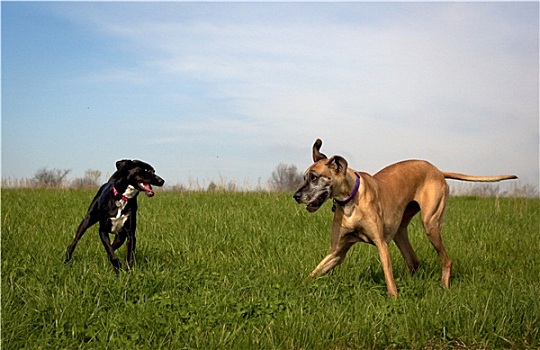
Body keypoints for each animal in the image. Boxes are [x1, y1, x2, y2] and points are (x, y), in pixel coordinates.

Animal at [296, 138, 520, 296]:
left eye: (314, 177)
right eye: (305, 177)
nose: (296, 196)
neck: (350, 200)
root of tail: (437, 170)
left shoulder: (381, 244)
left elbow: (387, 272)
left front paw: (393, 297)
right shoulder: (337, 252)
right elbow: (315, 271)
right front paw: (298, 288)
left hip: (430, 225)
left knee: (446, 260)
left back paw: (444, 286)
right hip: (400, 232)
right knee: (414, 261)